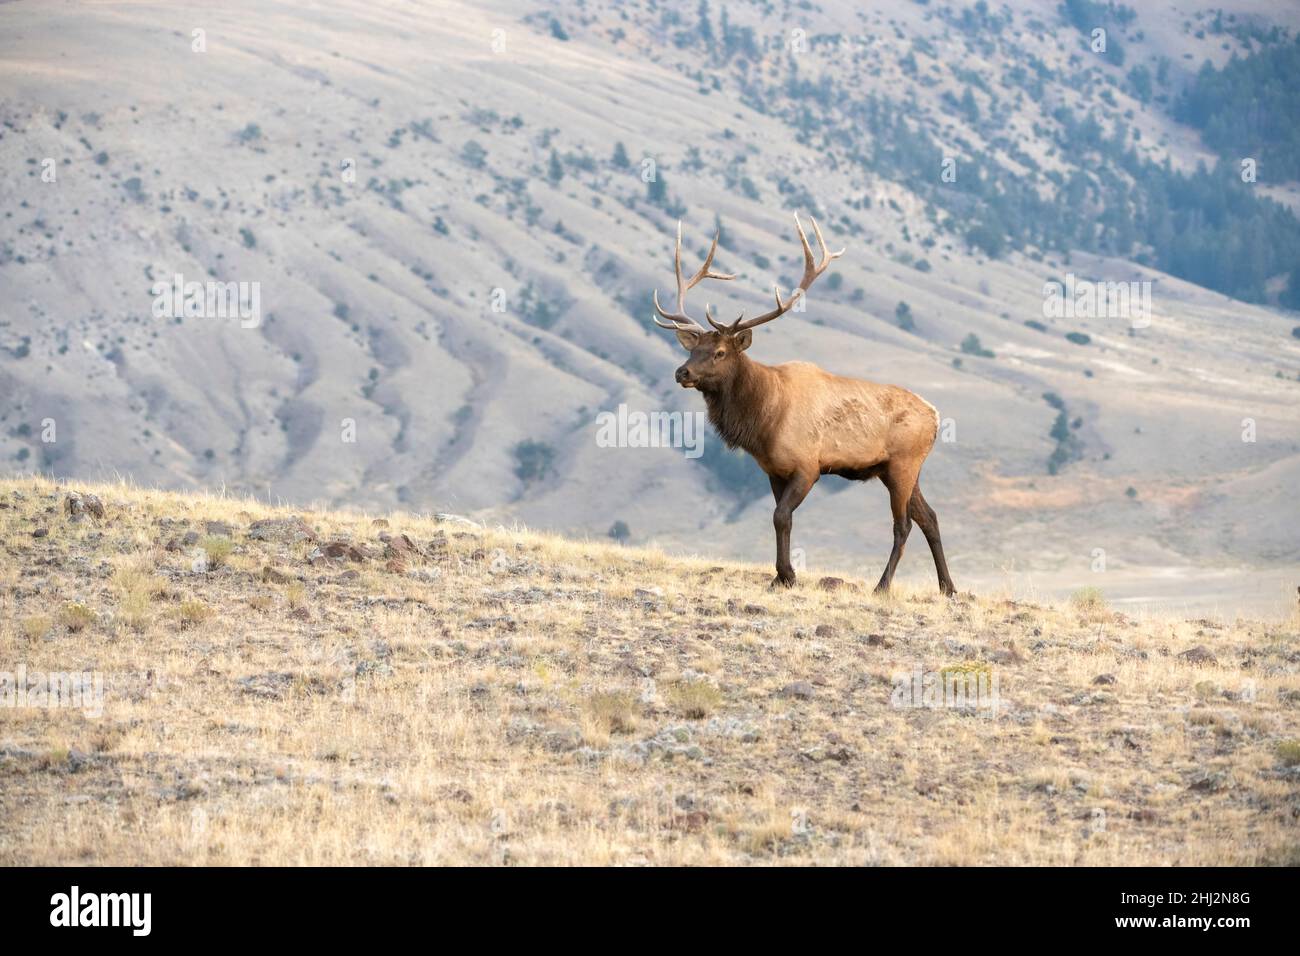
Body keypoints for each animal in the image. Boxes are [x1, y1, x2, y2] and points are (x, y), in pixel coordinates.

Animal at [655, 213, 951, 595]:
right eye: (693, 349)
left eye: (719, 352)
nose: (682, 372)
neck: (764, 420)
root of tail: (935, 416)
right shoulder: (773, 470)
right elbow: (783, 519)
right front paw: (780, 576)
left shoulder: (808, 466)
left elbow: (780, 516)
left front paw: (788, 574)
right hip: (898, 468)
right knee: (929, 517)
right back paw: (948, 588)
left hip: (903, 463)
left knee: (904, 526)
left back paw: (882, 587)